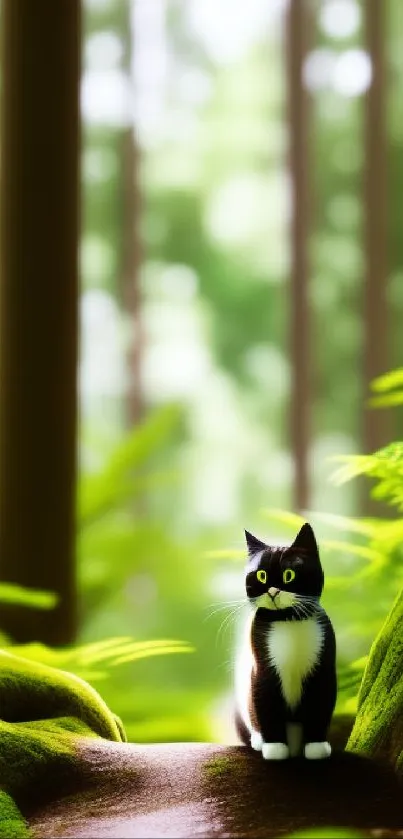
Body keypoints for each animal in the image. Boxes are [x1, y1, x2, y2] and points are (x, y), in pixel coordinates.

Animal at [235, 520, 340, 756]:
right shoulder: (261, 667)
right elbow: (266, 704)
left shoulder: (324, 667)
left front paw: (316, 747)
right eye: (261, 575)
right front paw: (274, 748)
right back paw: (259, 740)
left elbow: (320, 705)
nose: (273, 591)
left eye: (289, 574)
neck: (288, 621)